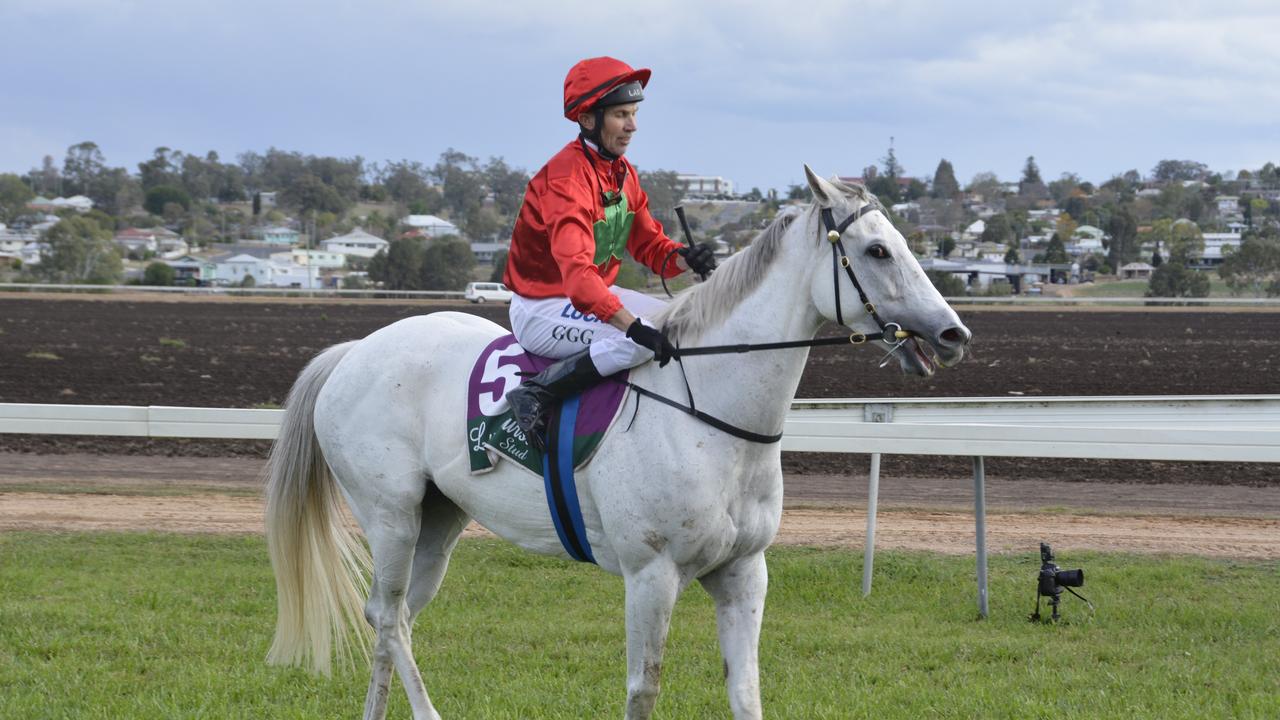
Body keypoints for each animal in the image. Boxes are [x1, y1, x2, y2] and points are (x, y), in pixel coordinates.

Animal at [267, 165, 967, 712]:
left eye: (903, 242)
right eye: (877, 252)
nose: (953, 334)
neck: (711, 416)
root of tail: (355, 350)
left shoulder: (745, 572)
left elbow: (746, 691)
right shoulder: (650, 574)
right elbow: (644, 687)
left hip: (439, 520)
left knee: (396, 620)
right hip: (391, 515)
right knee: (387, 616)